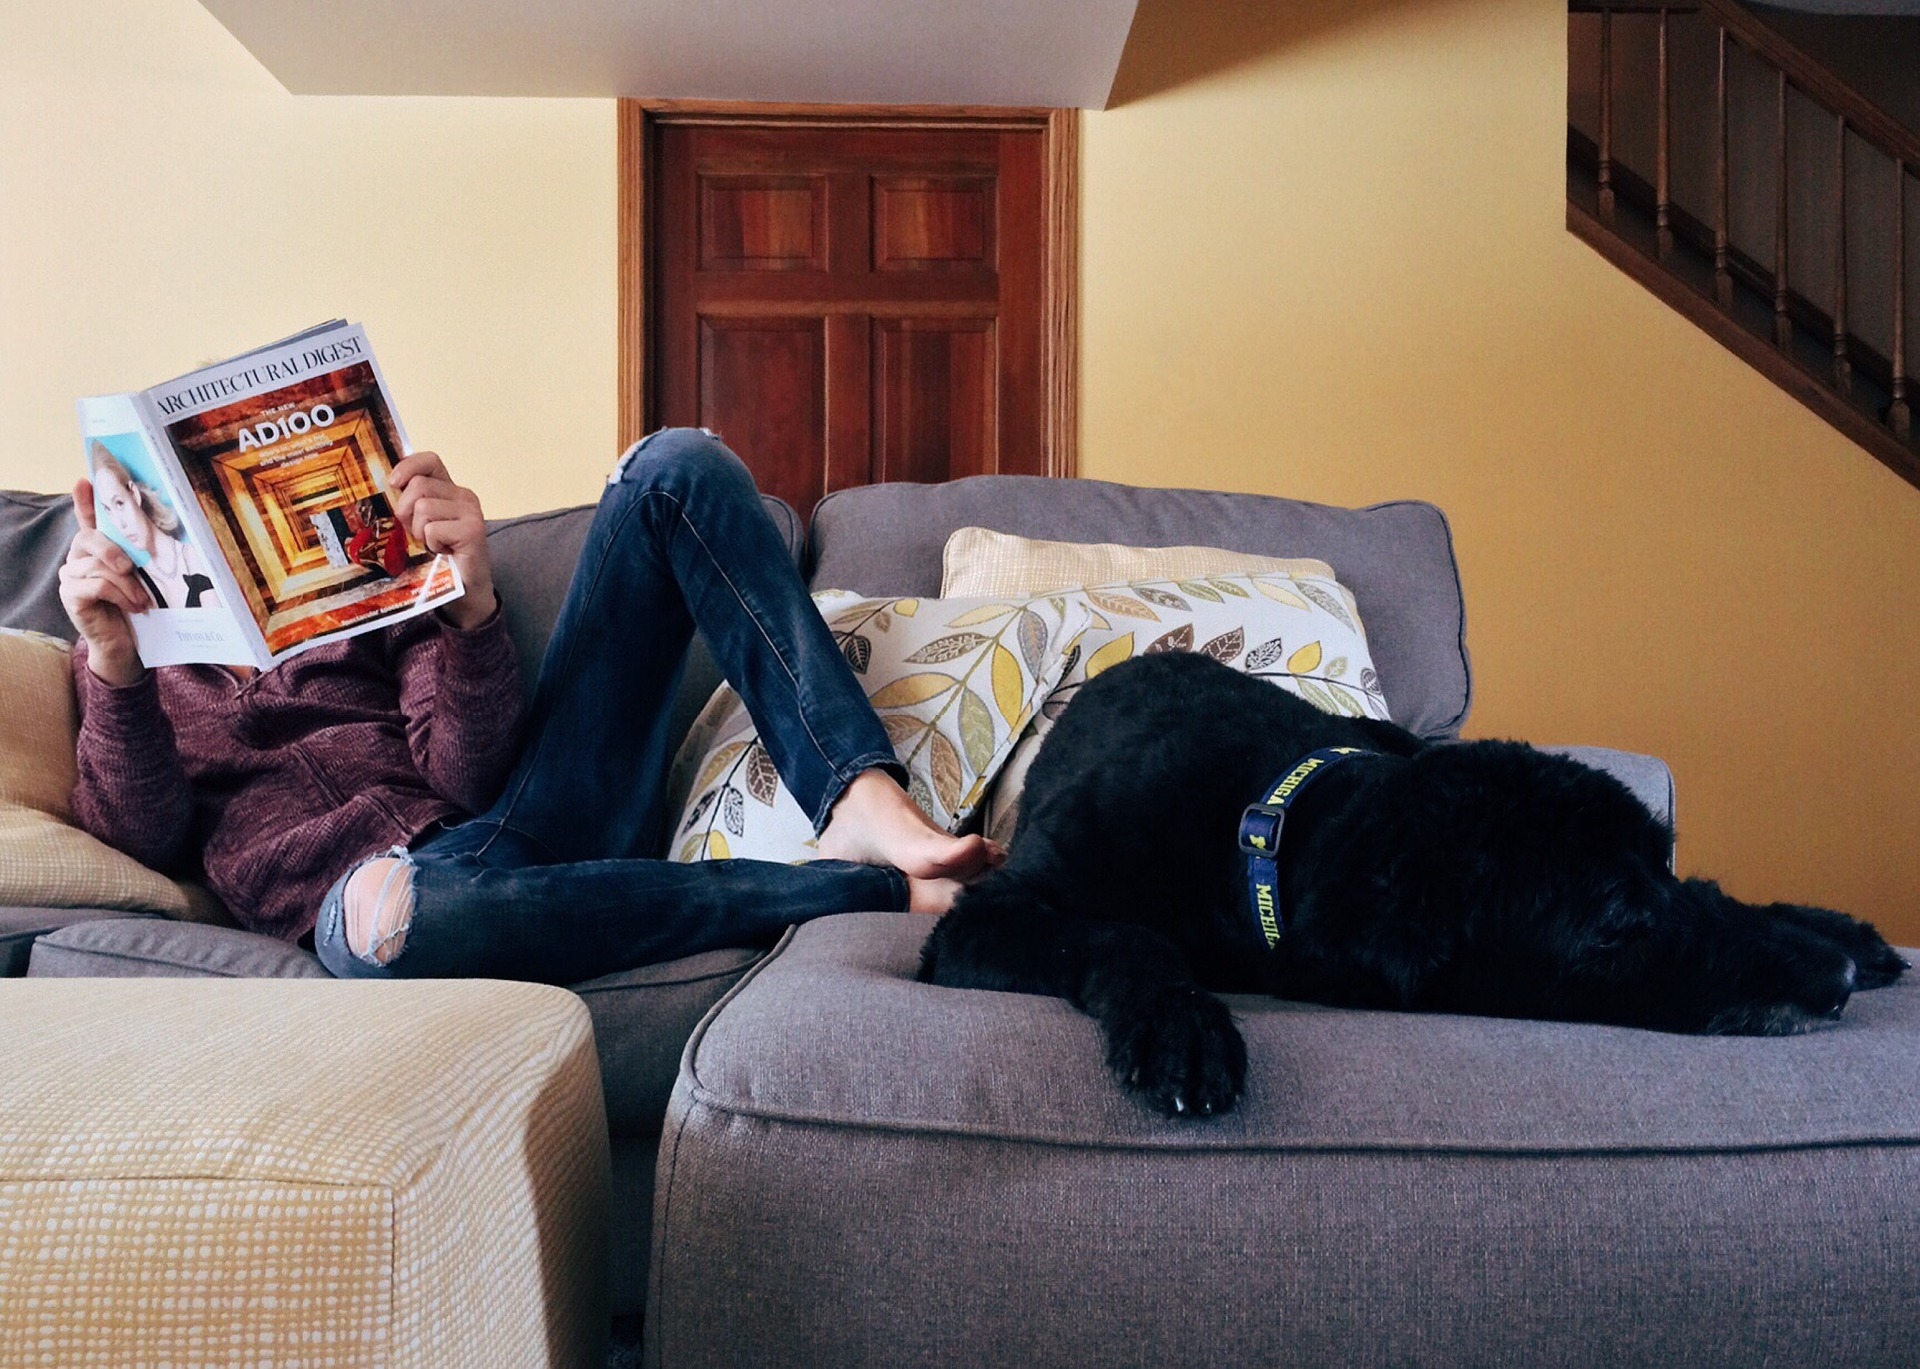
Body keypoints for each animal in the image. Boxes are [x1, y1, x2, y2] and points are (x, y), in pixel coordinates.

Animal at [917, 656, 1904, 1113]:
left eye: (1657, 867)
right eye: (1615, 922)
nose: (1835, 984)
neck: (1268, 825)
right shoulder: (986, 917)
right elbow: (1125, 935)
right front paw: (1181, 1026)